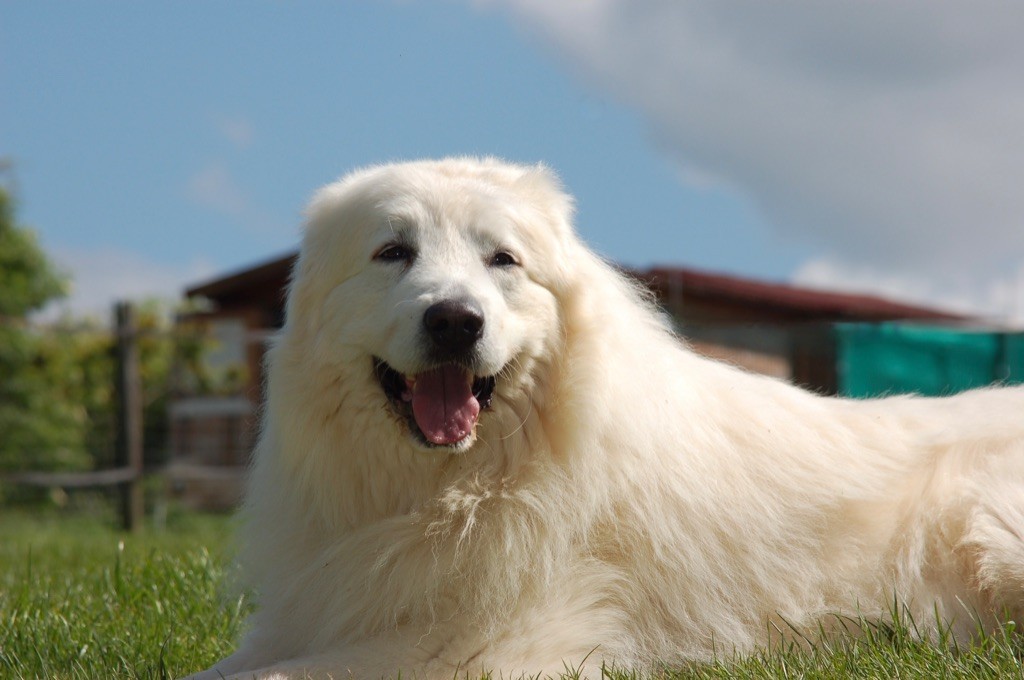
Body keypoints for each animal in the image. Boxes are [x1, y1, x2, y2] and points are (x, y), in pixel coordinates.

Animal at [190, 159, 1024, 680]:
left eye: (503, 261)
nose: (456, 321)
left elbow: (260, 678)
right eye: (393, 252)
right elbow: (221, 667)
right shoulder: (318, 614)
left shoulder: (476, 645)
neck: (450, 489)